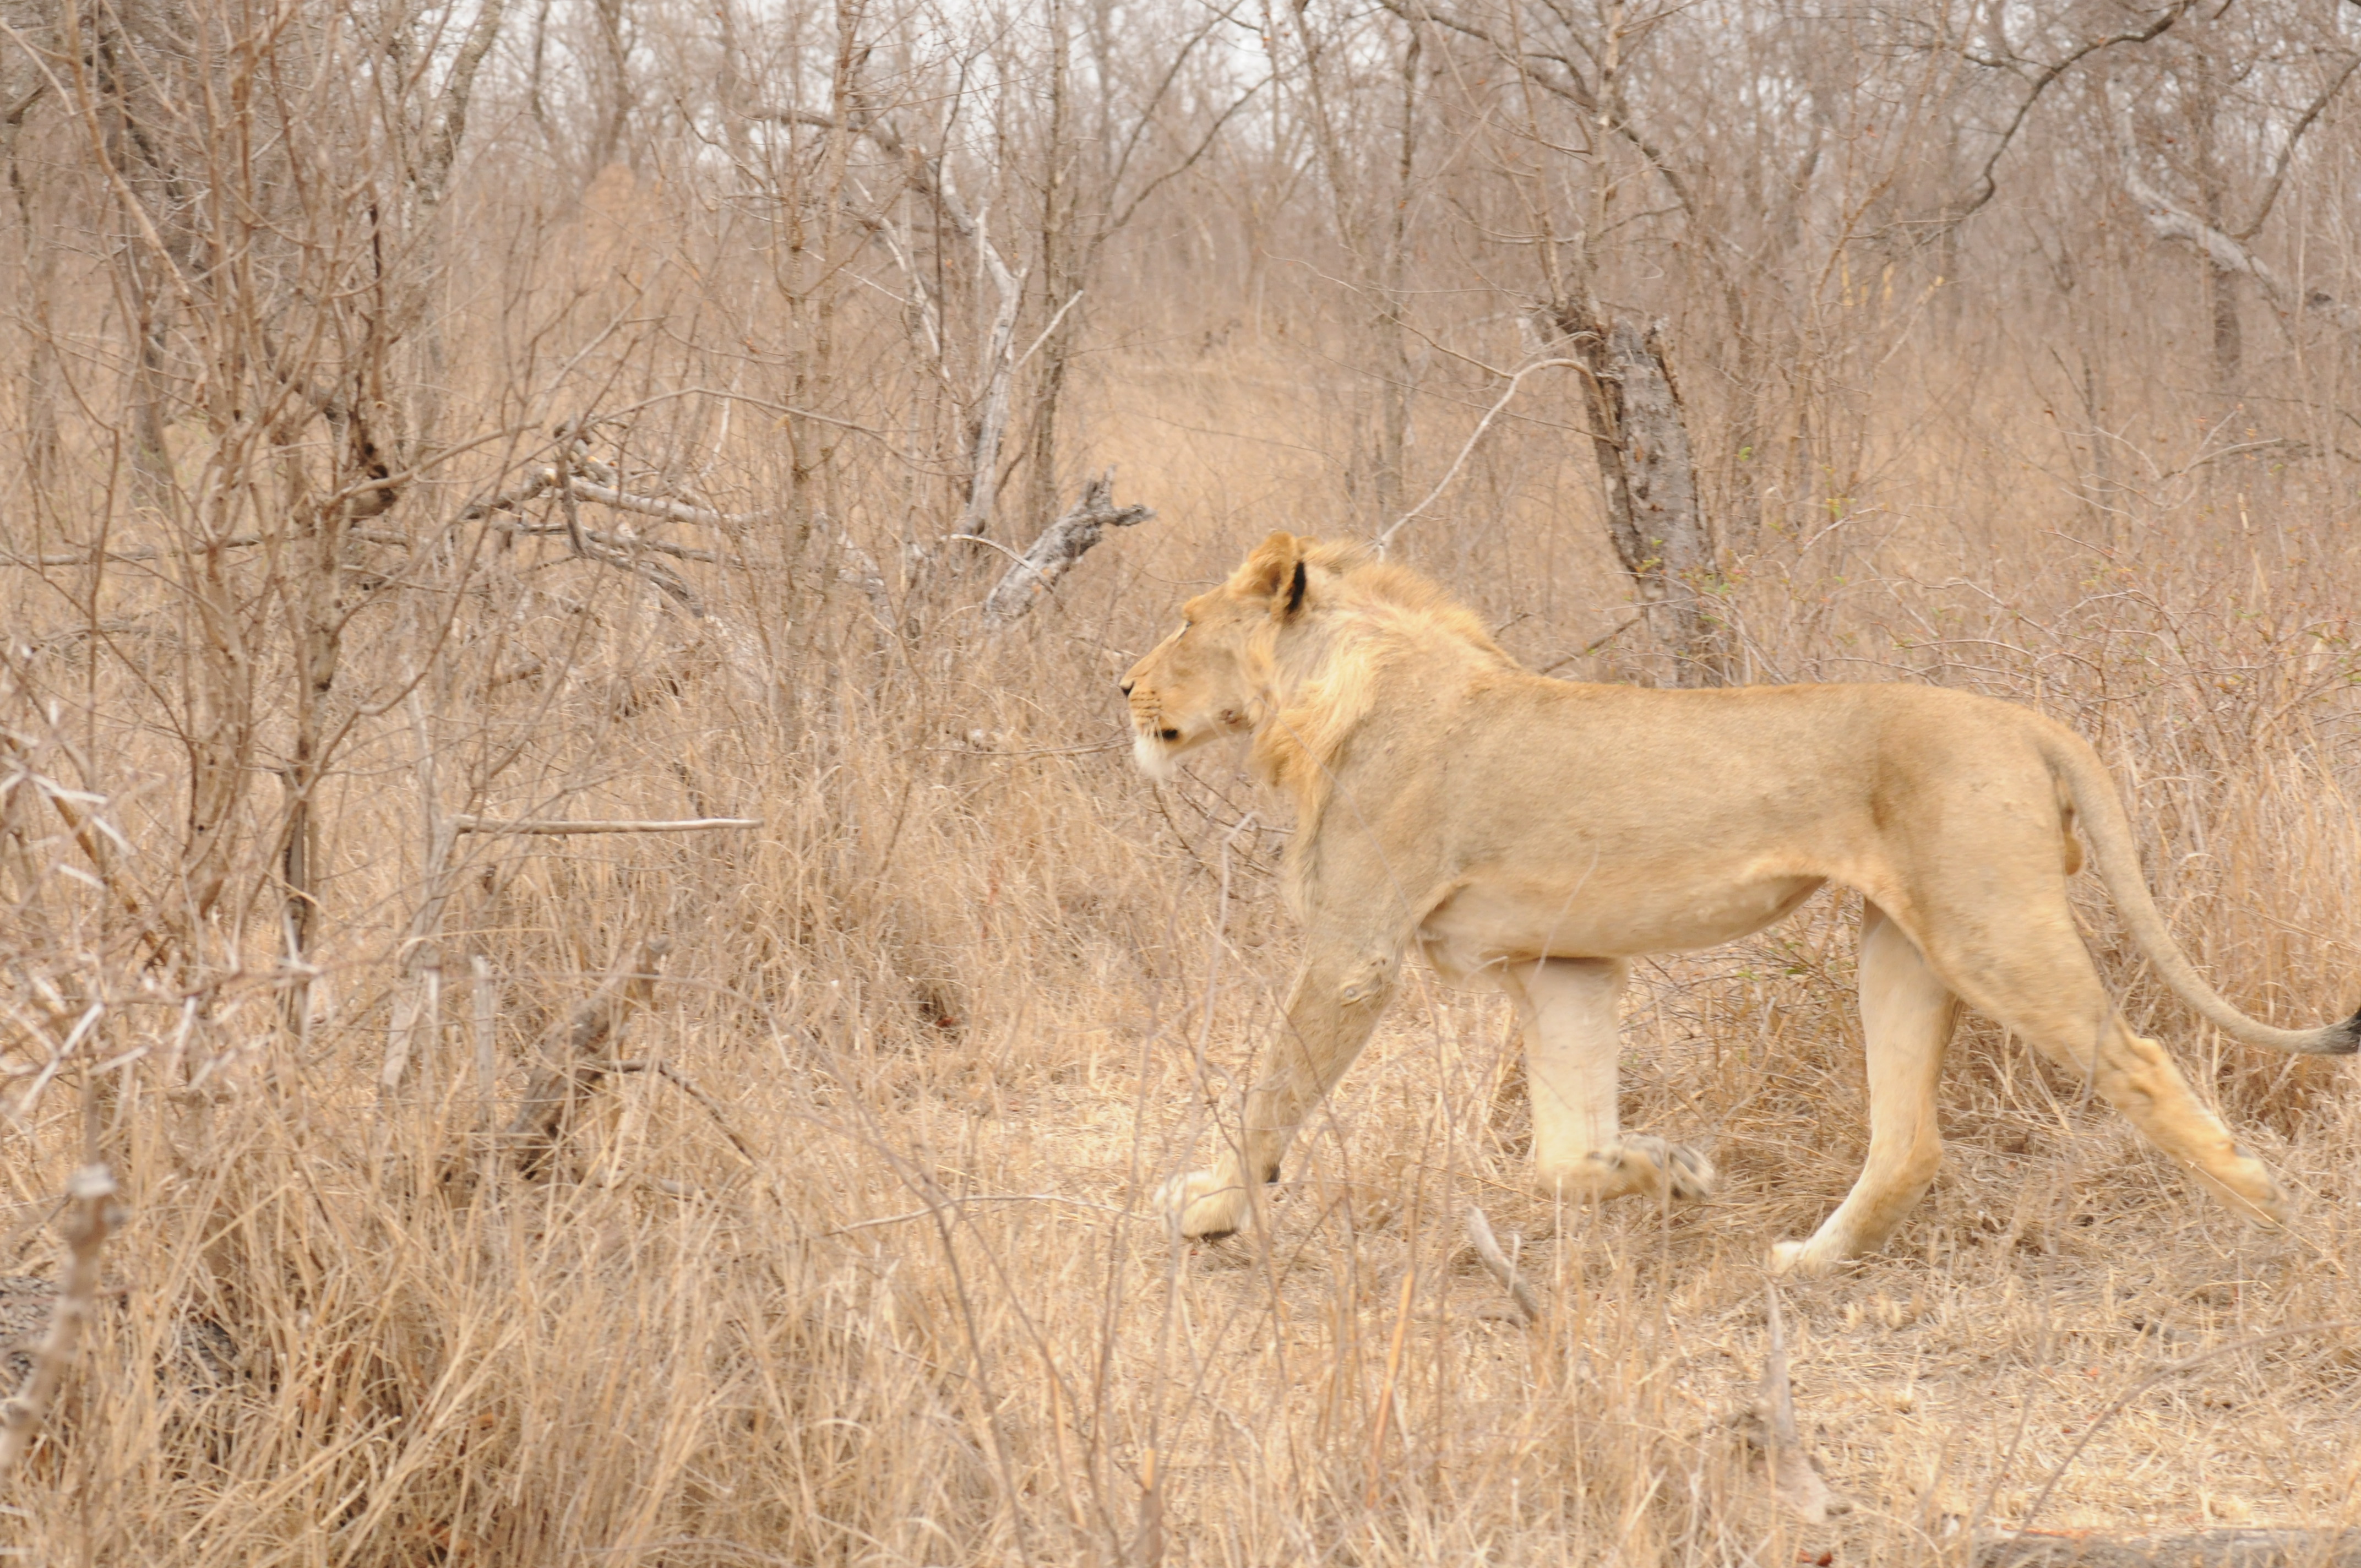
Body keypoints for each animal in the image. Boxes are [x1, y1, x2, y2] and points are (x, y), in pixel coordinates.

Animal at [1121, 532, 2358, 1275]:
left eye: (1181, 620)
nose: (1121, 686)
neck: (1327, 698)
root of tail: (2024, 717)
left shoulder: (1353, 952)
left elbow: (1268, 1093)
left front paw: (1211, 1204)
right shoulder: (1561, 964)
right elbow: (1562, 1149)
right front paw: (1664, 1171)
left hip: (1991, 933)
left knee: (2140, 1062)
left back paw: (2277, 1223)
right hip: (1901, 946)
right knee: (1908, 1140)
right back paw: (1805, 1262)